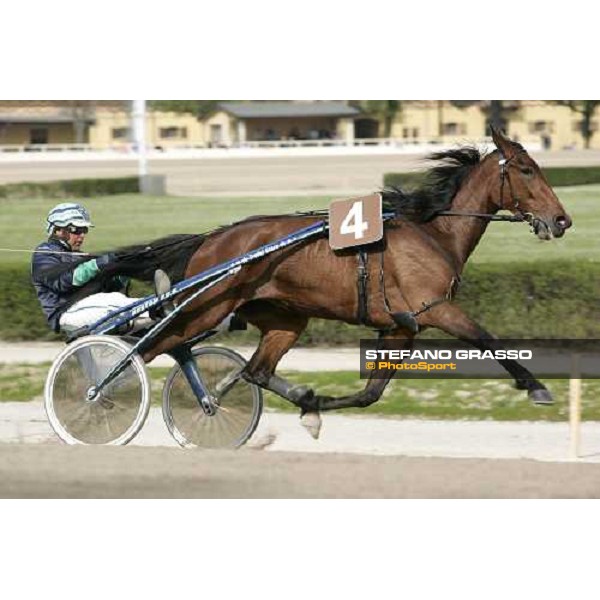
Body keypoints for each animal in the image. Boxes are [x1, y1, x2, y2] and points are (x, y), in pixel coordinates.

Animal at [71, 126, 572, 436]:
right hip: (206, 306)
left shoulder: (400, 327)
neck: (434, 233)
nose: (562, 220)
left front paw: (312, 408)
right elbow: (489, 339)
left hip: (284, 318)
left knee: (255, 370)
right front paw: (537, 387)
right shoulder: (435, 309)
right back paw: (95, 398)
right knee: (150, 348)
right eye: (526, 170)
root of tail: (211, 238)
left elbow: (370, 394)